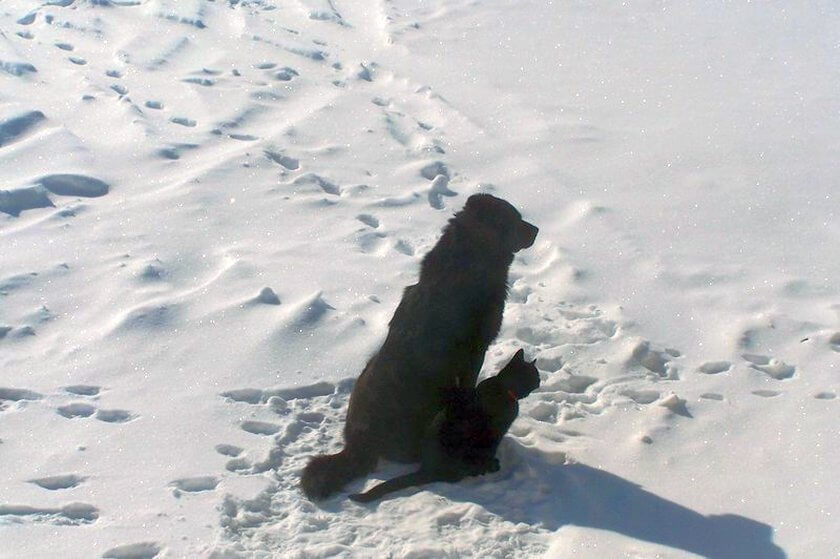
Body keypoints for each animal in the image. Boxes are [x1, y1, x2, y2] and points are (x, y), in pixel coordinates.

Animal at [348, 350, 540, 504]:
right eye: (536, 375)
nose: (540, 381)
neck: (504, 387)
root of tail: (425, 469)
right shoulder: (496, 432)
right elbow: (491, 448)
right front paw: (490, 463)